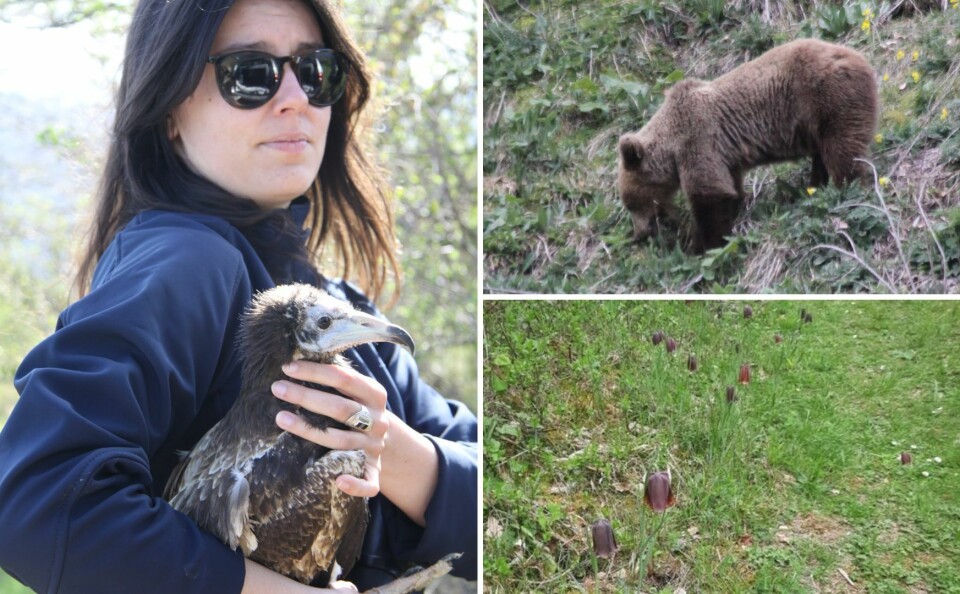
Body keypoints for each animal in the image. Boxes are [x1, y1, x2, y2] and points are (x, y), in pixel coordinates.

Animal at [620, 38, 880, 252]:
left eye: (631, 203)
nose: (639, 234)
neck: (671, 145)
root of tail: (859, 58)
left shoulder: (697, 139)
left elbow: (710, 196)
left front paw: (700, 245)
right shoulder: (724, 154)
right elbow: (729, 189)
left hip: (825, 97)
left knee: (842, 149)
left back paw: (847, 187)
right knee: (824, 152)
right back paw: (815, 185)